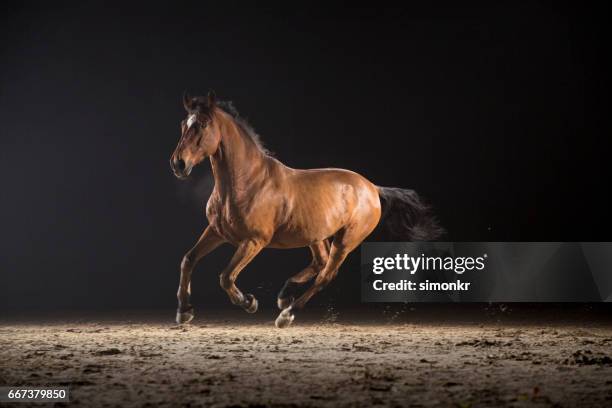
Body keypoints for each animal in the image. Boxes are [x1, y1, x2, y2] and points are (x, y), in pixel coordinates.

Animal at [170, 92, 442, 328]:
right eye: (184, 123)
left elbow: (226, 277)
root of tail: (372, 188)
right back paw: (285, 295)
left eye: (203, 124)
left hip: (346, 240)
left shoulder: (254, 241)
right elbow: (188, 259)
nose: (178, 164)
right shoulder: (217, 232)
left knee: (326, 275)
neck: (247, 182)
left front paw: (248, 302)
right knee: (320, 262)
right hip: (317, 236)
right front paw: (184, 311)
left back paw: (287, 314)